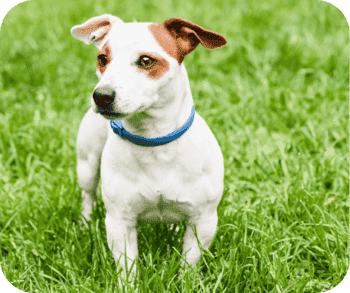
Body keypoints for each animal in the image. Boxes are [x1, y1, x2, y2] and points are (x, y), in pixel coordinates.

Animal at [72, 13, 227, 282]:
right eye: (103, 59)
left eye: (146, 61)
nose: (101, 95)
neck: (154, 142)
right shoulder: (119, 223)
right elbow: (127, 267)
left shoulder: (203, 221)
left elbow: (189, 262)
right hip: (87, 165)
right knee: (88, 195)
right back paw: (85, 223)